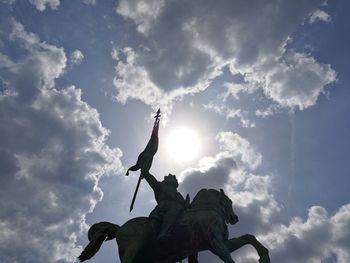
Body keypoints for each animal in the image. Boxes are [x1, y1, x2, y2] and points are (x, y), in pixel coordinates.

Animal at [80, 189, 270, 262]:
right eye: (229, 201)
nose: (235, 217)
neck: (206, 209)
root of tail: (120, 228)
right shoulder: (216, 243)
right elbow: (228, 257)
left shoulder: (219, 244)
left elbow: (249, 238)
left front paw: (264, 256)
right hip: (134, 247)